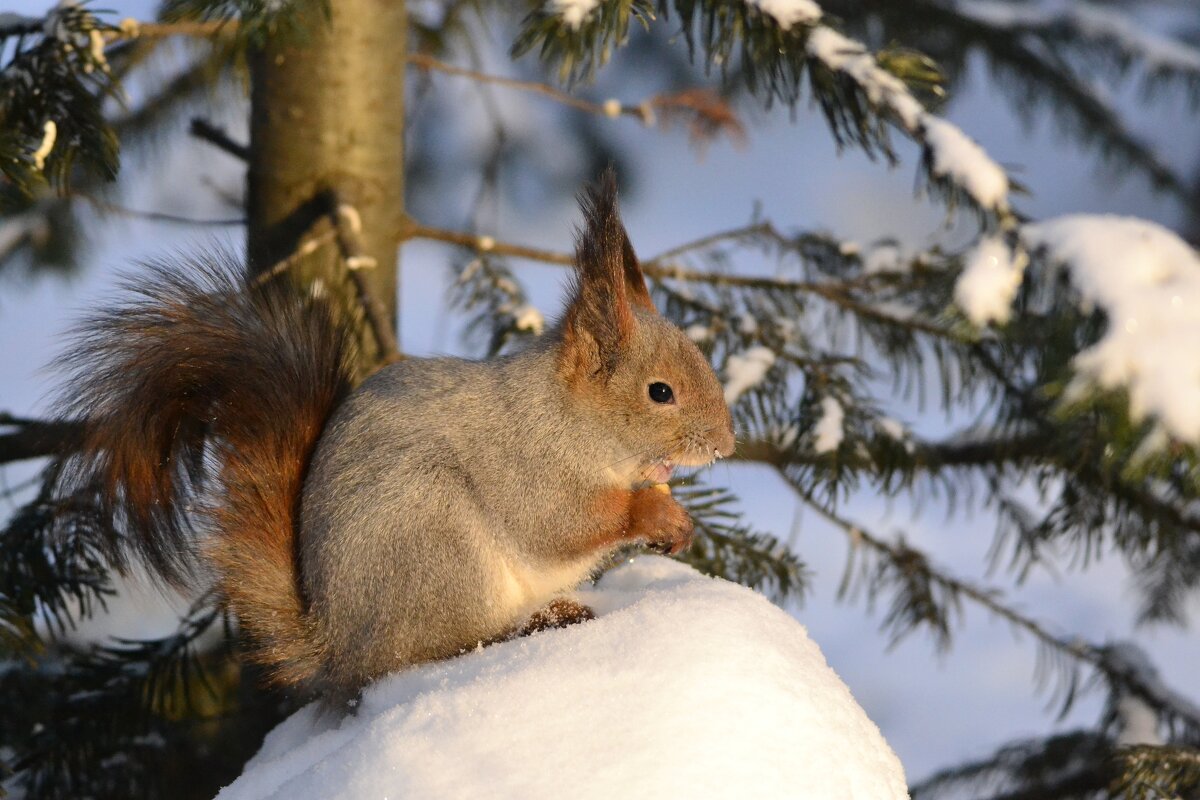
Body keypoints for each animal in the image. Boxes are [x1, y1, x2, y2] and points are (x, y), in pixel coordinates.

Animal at [51, 172, 734, 705]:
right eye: (660, 392)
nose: (725, 446)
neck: (571, 418)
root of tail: (339, 648)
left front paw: (678, 514)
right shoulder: (528, 463)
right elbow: (560, 524)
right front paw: (654, 513)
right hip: (435, 542)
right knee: (436, 651)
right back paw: (536, 622)